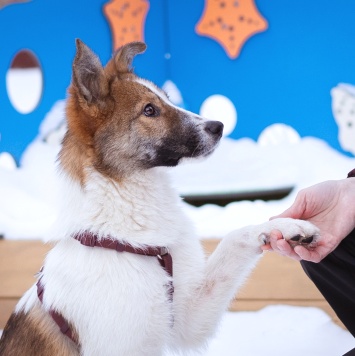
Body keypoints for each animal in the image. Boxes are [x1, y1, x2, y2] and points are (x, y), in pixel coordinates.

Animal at [0, 40, 320, 354]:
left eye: (167, 99)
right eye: (149, 110)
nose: (218, 127)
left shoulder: (187, 316)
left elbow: (235, 237)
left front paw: (286, 227)